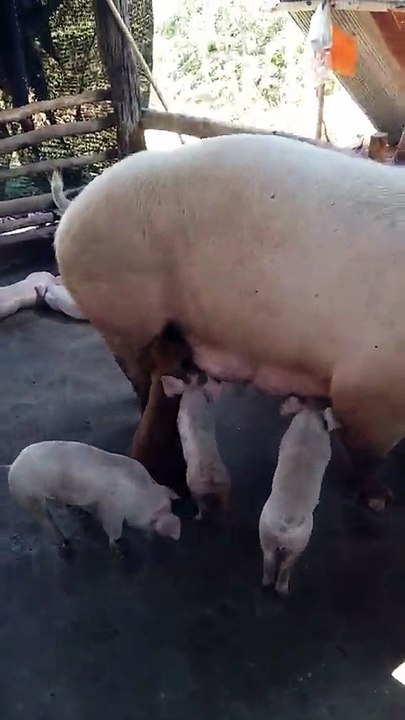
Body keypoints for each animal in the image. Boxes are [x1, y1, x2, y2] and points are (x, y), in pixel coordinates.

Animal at [8, 441, 181, 551]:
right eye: (152, 523)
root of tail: (13, 465)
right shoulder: (112, 509)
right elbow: (112, 530)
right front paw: (119, 547)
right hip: (28, 495)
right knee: (45, 519)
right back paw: (64, 543)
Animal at [161, 374, 230, 519]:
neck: (193, 391)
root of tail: (210, 475)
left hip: (195, 488)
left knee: (201, 507)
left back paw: (197, 517)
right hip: (226, 484)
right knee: (225, 504)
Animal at [259, 397, 340, 597]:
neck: (309, 421)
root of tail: (286, 522)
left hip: (266, 534)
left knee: (269, 560)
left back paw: (268, 585)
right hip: (300, 543)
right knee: (286, 566)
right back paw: (283, 592)